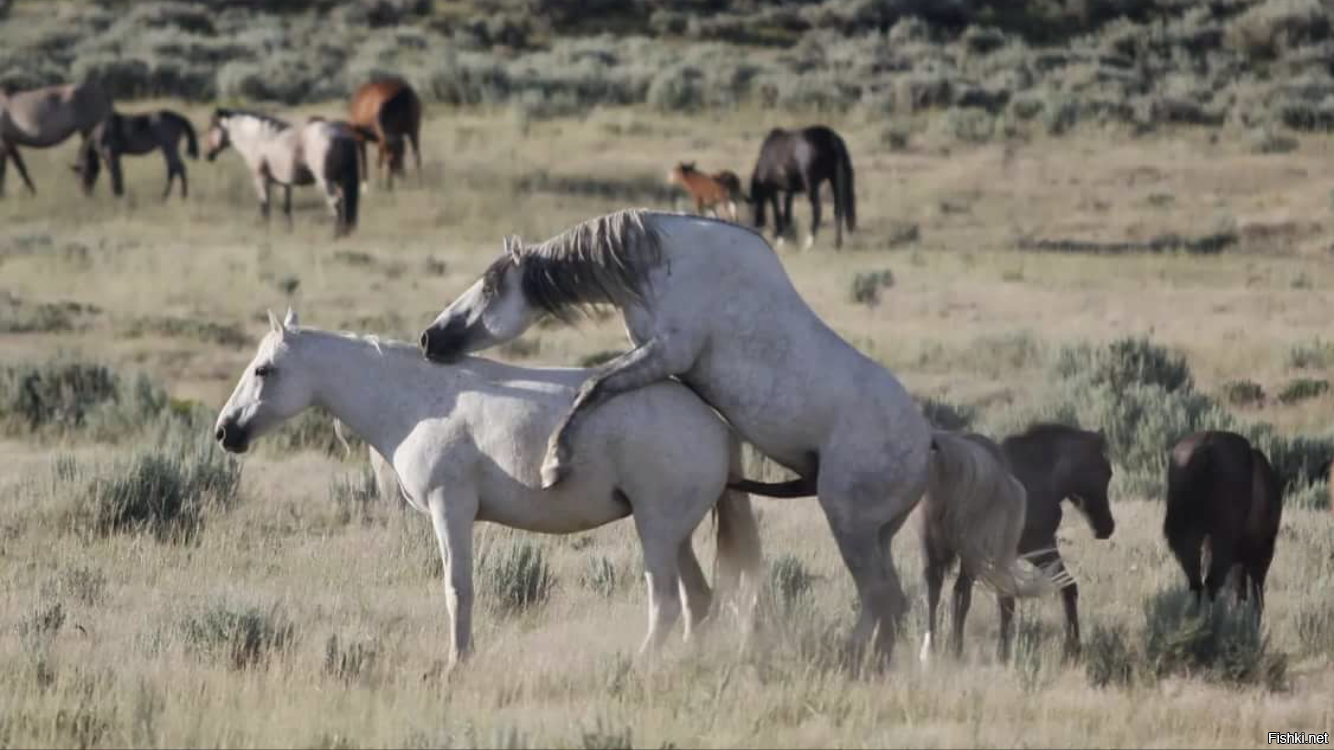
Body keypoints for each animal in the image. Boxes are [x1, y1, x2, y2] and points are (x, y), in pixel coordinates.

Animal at [216, 306, 763, 661]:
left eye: (263, 369)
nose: (225, 431)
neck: (420, 403)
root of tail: (716, 422)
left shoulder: (450, 510)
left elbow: (458, 589)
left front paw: (458, 661)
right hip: (675, 535)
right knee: (698, 601)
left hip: (657, 532)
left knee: (667, 602)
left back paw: (641, 664)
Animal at [410, 206, 1035, 656]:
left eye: (492, 288)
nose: (429, 338)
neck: (662, 262)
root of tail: (929, 440)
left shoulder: (664, 354)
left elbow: (593, 387)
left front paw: (554, 462)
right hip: (875, 532)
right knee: (888, 605)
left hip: (850, 524)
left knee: (883, 601)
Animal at [917, 424, 1115, 656]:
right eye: (1107, 472)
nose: (1107, 527)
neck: (1039, 475)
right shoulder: (1039, 546)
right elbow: (1014, 599)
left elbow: (1057, 589)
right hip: (971, 553)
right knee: (960, 595)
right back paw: (955, 652)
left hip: (933, 547)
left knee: (933, 590)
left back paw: (930, 651)